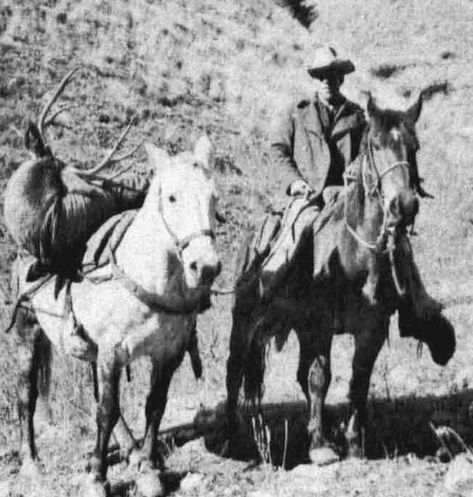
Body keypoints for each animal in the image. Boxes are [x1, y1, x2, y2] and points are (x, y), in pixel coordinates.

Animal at [12, 136, 222, 496]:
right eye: (171, 197)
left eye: (213, 197)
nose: (205, 267)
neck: (149, 281)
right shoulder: (112, 352)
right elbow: (105, 412)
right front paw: (97, 476)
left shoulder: (169, 354)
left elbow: (154, 407)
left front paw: (149, 467)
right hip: (29, 332)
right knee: (27, 395)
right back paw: (31, 462)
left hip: (90, 349)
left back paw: (131, 452)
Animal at [227, 93, 456, 464]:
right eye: (375, 145)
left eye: (415, 146)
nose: (404, 205)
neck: (355, 254)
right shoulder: (319, 325)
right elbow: (320, 377)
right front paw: (320, 445)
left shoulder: (371, 328)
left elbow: (358, 380)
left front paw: (353, 442)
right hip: (245, 322)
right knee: (234, 372)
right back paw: (232, 436)